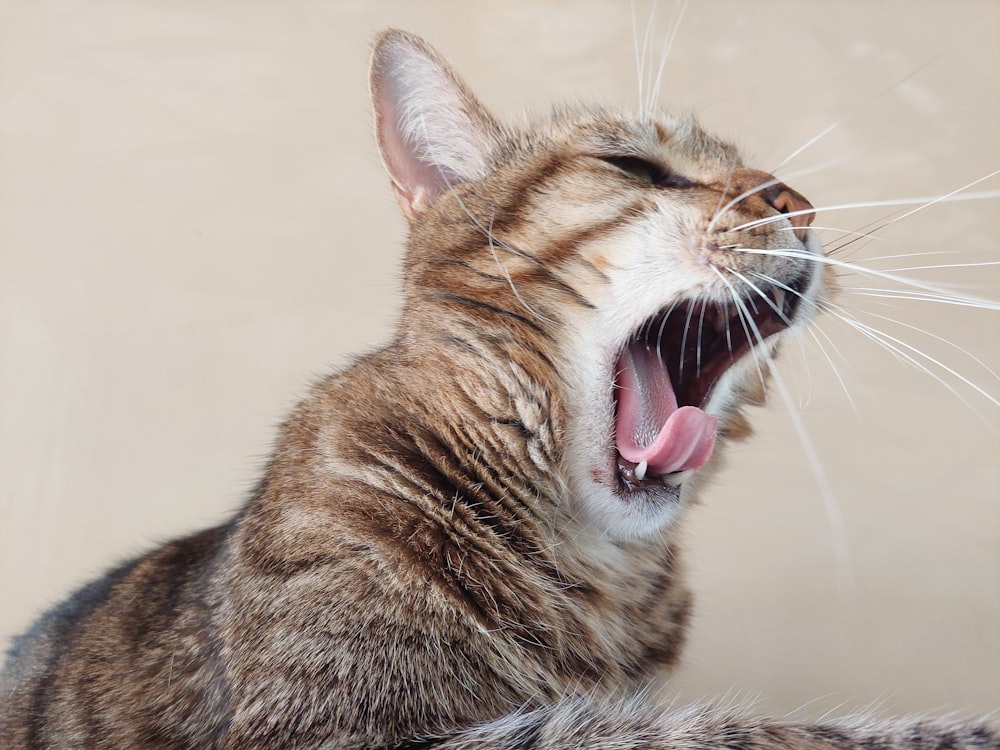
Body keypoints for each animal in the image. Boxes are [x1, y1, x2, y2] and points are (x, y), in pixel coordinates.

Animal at [0, 29, 996, 750]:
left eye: (781, 183)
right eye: (636, 168)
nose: (799, 202)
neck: (597, 587)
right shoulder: (341, 733)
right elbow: (694, 732)